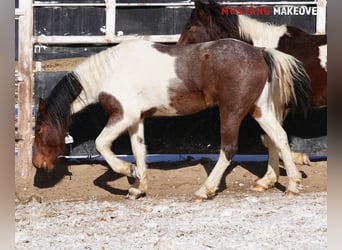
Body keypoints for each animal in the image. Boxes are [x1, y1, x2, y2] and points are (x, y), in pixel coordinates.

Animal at [32, 38, 310, 199]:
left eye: (39, 129)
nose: (37, 164)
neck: (110, 72)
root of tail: (259, 51)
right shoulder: (135, 120)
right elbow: (139, 151)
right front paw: (138, 187)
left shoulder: (123, 115)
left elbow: (102, 145)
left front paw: (128, 171)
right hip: (259, 108)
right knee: (278, 137)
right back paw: (291, 185)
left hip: (231, 111)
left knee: (229, 149)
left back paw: (204, 190)